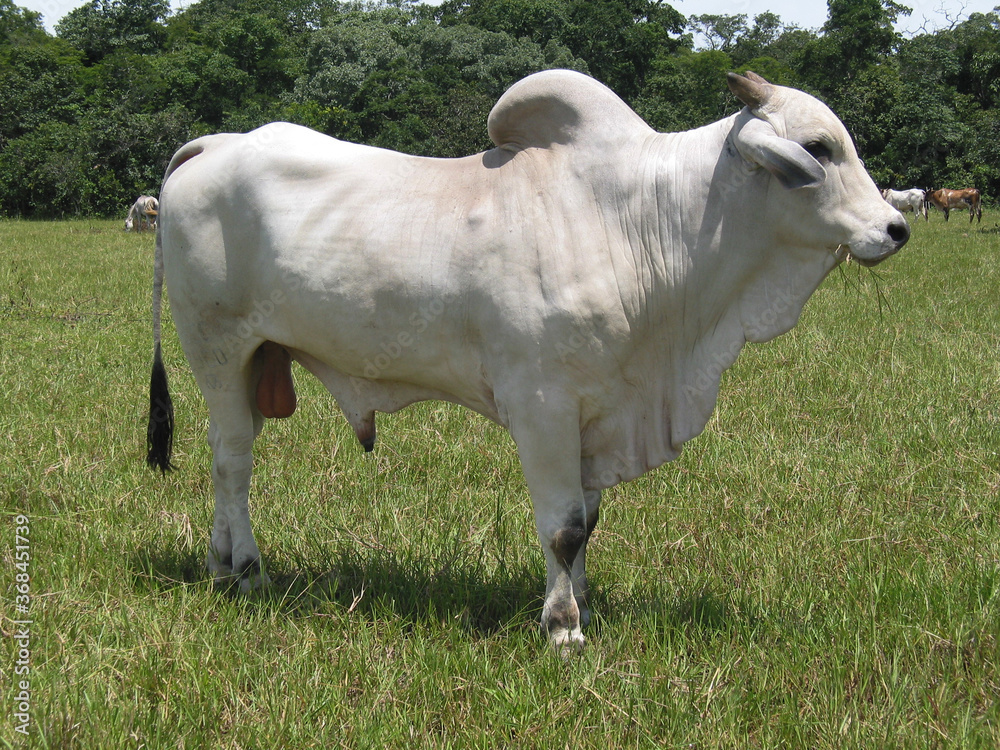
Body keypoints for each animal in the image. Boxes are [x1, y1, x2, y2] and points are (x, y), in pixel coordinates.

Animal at [146, 70, 908, 653]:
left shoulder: (597, 412)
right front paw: (563, 629)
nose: (895, 228)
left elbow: (587, 524)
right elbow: (563, 528)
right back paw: (247, 571)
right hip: (217, 350)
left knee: (228, 453)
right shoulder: (543, 406)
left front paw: (584, 607)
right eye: (817, 148)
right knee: (233, 460)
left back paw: (220, 565)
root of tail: (217, 144)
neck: (646, 224)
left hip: (254, 362)